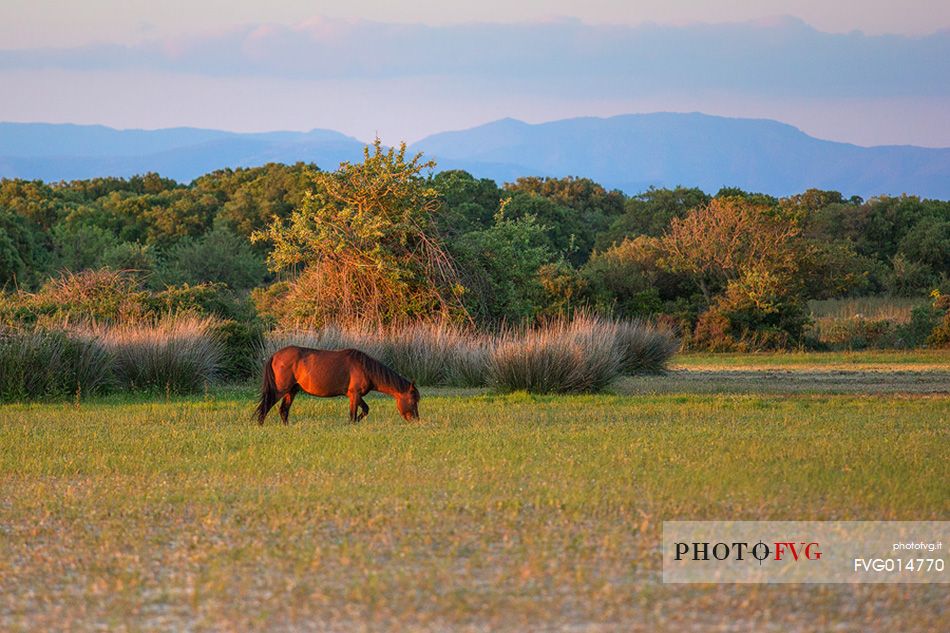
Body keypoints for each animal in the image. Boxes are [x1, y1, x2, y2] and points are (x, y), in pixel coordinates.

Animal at [255, 346, 418, 424]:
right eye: (413, 400)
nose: (416, 420)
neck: (366, 368)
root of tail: (275, 355)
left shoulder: (354, 395)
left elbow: (365, 410)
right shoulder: (354, 394)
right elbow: (353, 415)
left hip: (292, 390)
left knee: (283, 410)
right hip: (280, 390)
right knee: (266, 407)